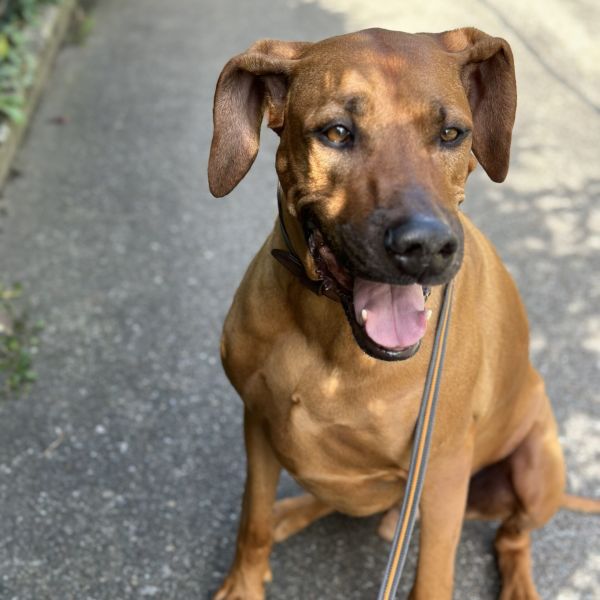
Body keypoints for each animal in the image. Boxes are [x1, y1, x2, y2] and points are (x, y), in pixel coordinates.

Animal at [207, 27, 600, 599]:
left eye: (453, 133)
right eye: (337, 132)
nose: (427, 246)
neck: (328, 335)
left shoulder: (441, 470)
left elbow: (433, 577)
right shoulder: (256, 421)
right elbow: (251, 520)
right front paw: (244, 582)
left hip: (535, 468)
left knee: (512, 537)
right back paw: (293, 512)